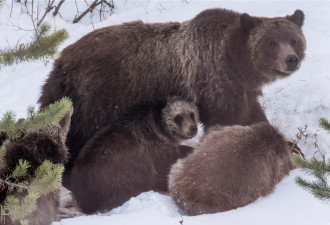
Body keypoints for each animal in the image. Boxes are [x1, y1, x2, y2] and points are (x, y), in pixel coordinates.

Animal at [38, 8, 306, 188]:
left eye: (293, 39)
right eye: (272, 43)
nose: (291, 59)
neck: (236, 63)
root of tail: (60, 62)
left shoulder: (240, 90)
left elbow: (253, 116)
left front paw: (291, 145)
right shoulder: (214, 82)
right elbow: (228, 121)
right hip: (98, 97)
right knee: (79, 135)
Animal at [70, 98, 199, 213]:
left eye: (191, 114)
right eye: (179, 117)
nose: (193, 128)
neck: (162, 128)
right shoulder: (155, 147)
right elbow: (166, 166)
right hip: (118, 170)